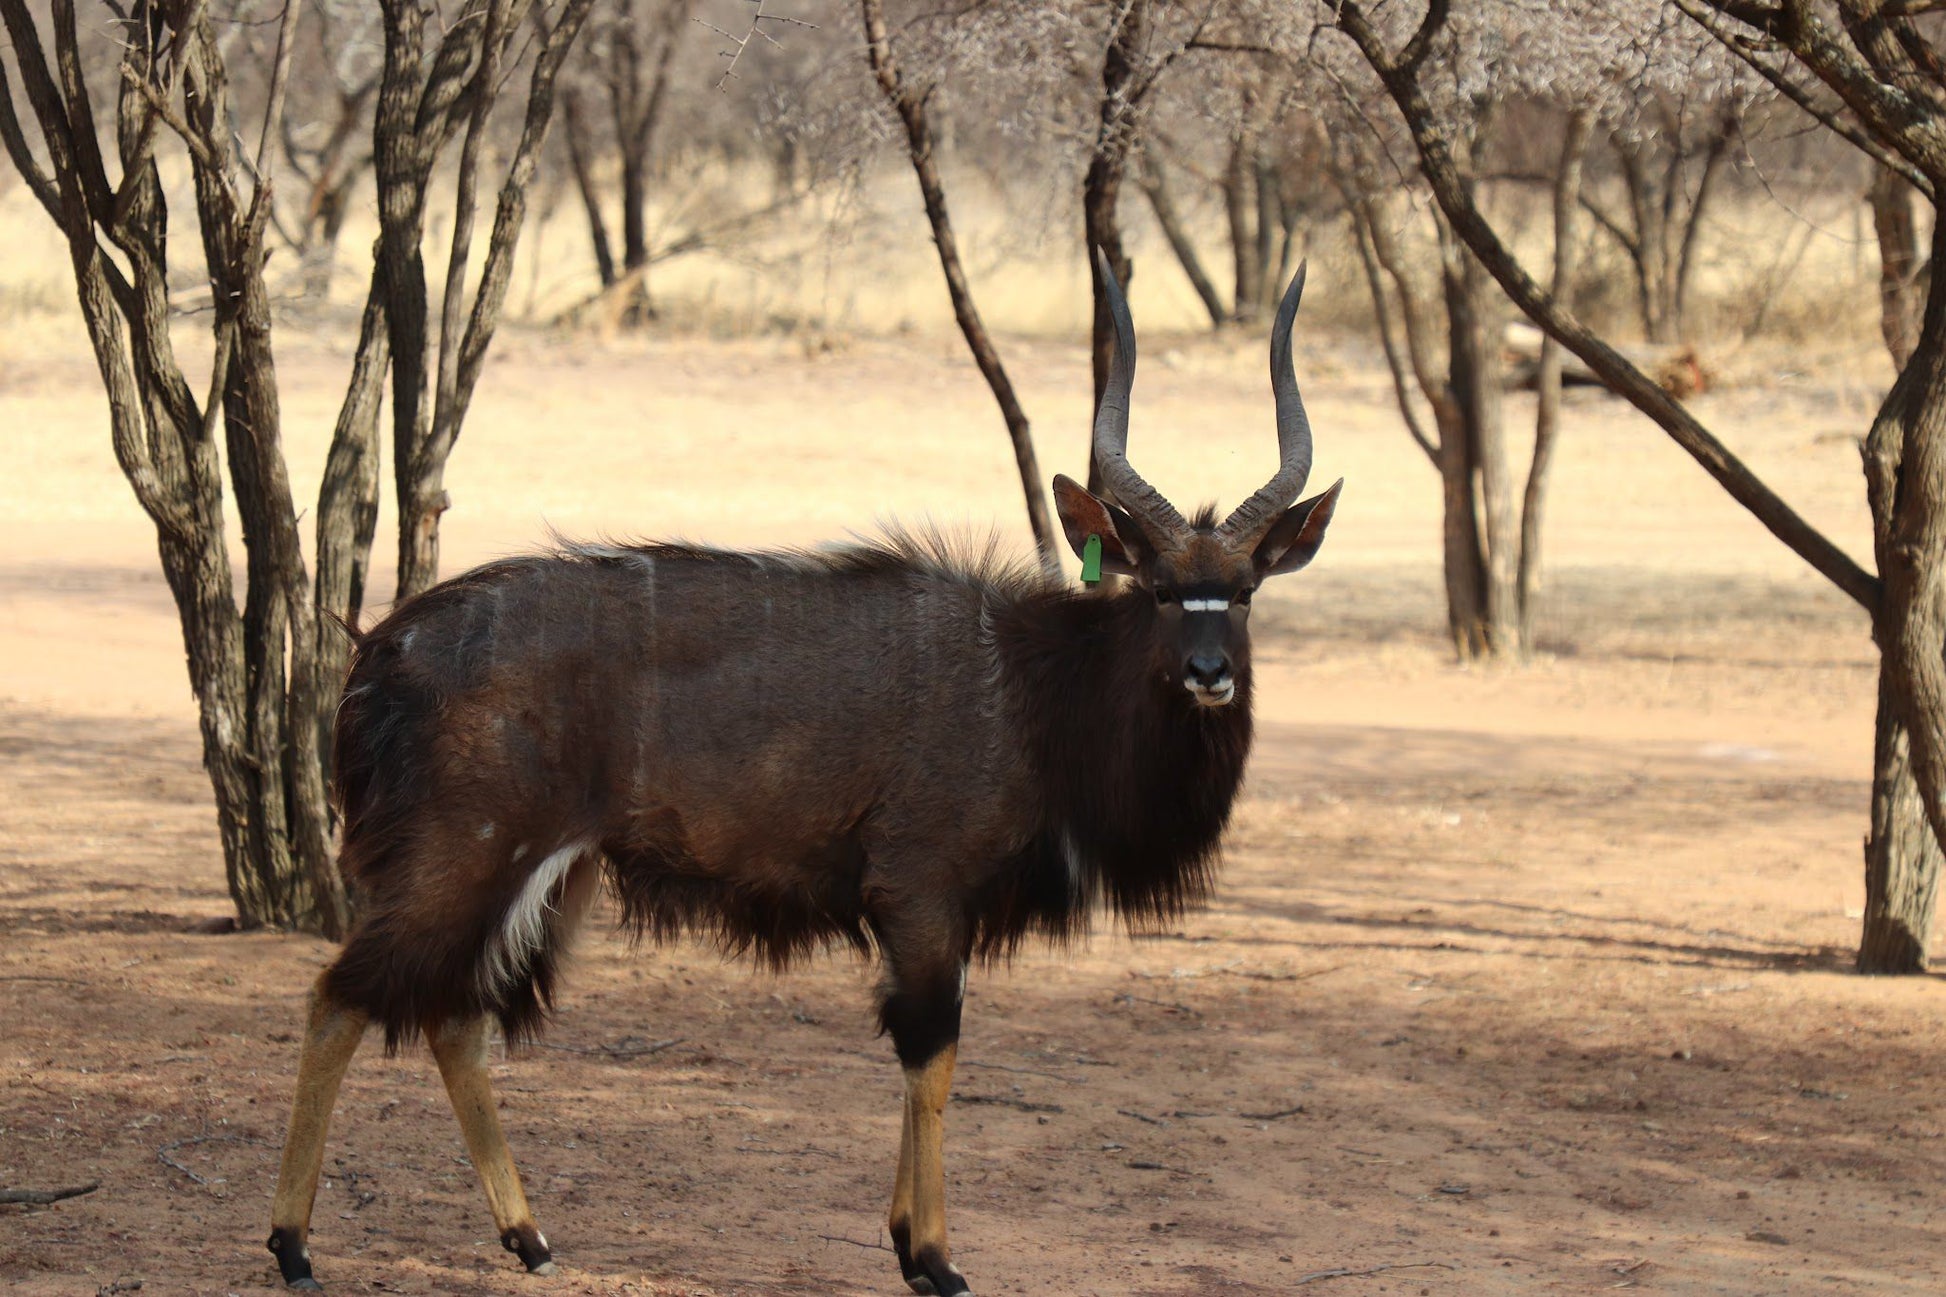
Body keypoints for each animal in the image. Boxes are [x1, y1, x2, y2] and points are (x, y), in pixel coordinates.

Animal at [270, 255, 1338, 1293]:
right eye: (1159, 587)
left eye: (1244, 590)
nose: (1210, 672)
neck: (1031, 686)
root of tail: (383, 649)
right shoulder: (920, 892)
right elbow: (933, 1054)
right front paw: (935, 1258)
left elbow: (923, 1055)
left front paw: (906, 1242)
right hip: (464, 856)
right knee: (340, 996)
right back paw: (293, 1246)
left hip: (541, 873)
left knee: (451, 1016)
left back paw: (529, 1238)